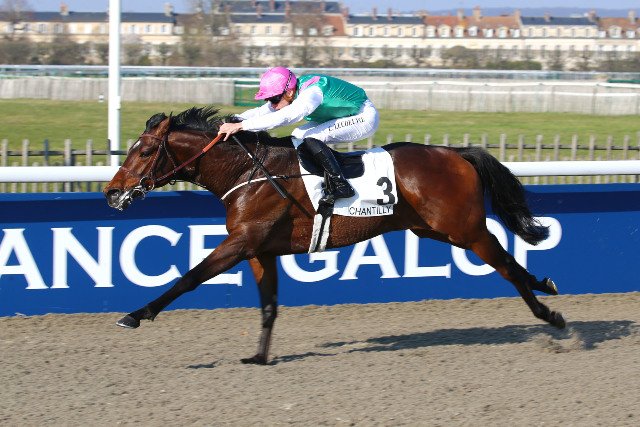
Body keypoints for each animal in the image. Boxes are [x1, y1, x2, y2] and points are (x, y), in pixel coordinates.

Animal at [104, 106, 565, 365]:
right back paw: (546, 286)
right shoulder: (258, 250)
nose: (112, 191)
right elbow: (268, 305)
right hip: (436, 229)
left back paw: (549, 313)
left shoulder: (240, 243)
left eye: (146, 150)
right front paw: (259, 357)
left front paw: (136, 314)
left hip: (464, 229)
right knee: (508, 262)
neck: (247, 173)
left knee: (506, 265)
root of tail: (457, 154)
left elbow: (188, 278)